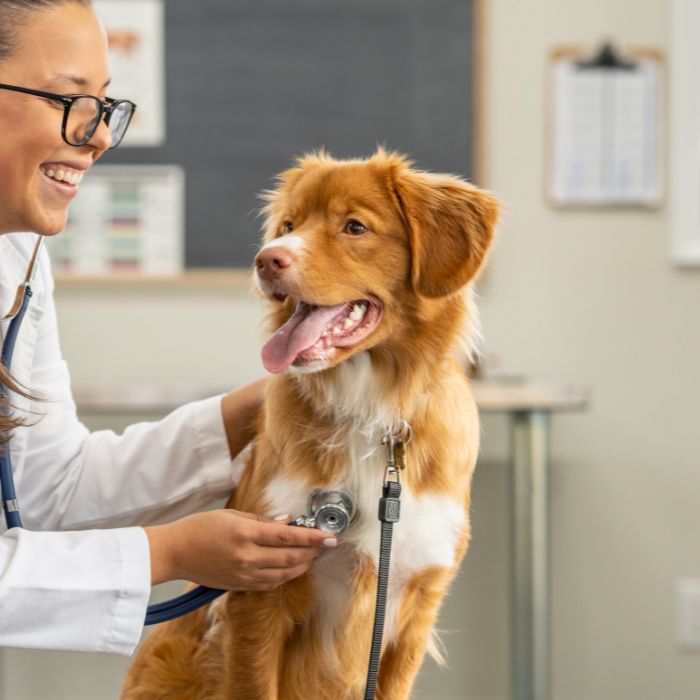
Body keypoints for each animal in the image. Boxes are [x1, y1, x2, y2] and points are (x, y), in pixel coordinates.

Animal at [123, 149, 500, 700]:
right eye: (288, 225)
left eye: (355, 226)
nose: (266, 259)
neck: (369, 411)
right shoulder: (258, 600)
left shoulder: (414, 610)